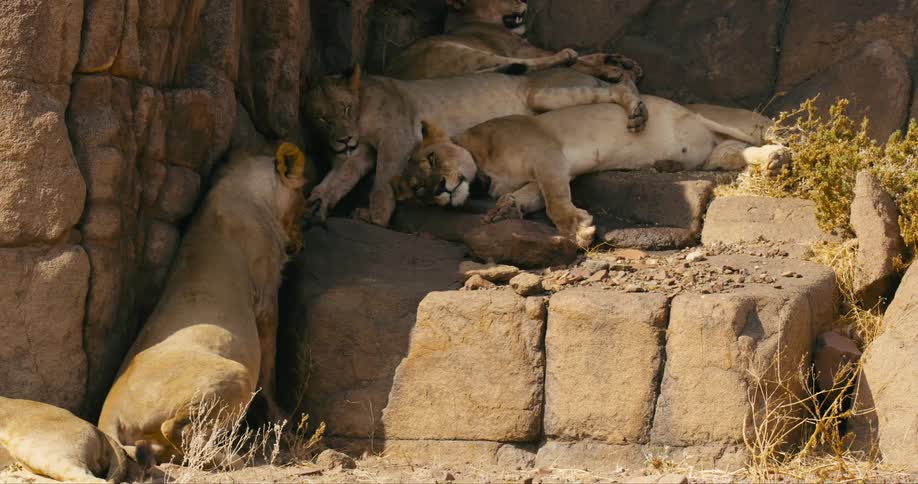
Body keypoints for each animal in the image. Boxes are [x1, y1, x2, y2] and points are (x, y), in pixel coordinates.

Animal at [98, 143, 308, 465]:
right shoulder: (267, 293)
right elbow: (269, 365)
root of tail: (109, 416)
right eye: (304, 199)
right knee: (175, 428)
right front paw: (280, 417)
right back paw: (231, 458)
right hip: (236, 373)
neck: (244, 186)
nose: (301, 241)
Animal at [304, 66, 647, 228]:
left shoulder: (396, 136)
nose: (342, 140)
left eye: (345, 108)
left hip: (543, 94)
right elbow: (337, 180)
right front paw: (314, 205)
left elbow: (382, 182)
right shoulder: (358, 152)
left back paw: (636, 110)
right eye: (322, 118)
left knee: (617, 88)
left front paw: (375, 217)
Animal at [395, 98, 790, 248]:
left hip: (718, 120)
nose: (437, 189)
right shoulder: (543, 173)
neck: (483, 173)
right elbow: (528, 195)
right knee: (736, 154)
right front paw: (505, 210)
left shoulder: (548, 155)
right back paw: (769, 163)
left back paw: (780, 154)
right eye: (417, 189)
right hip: (715, 155)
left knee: (771, 135)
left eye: (432, 158)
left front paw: (578, 230)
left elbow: (555, 202)